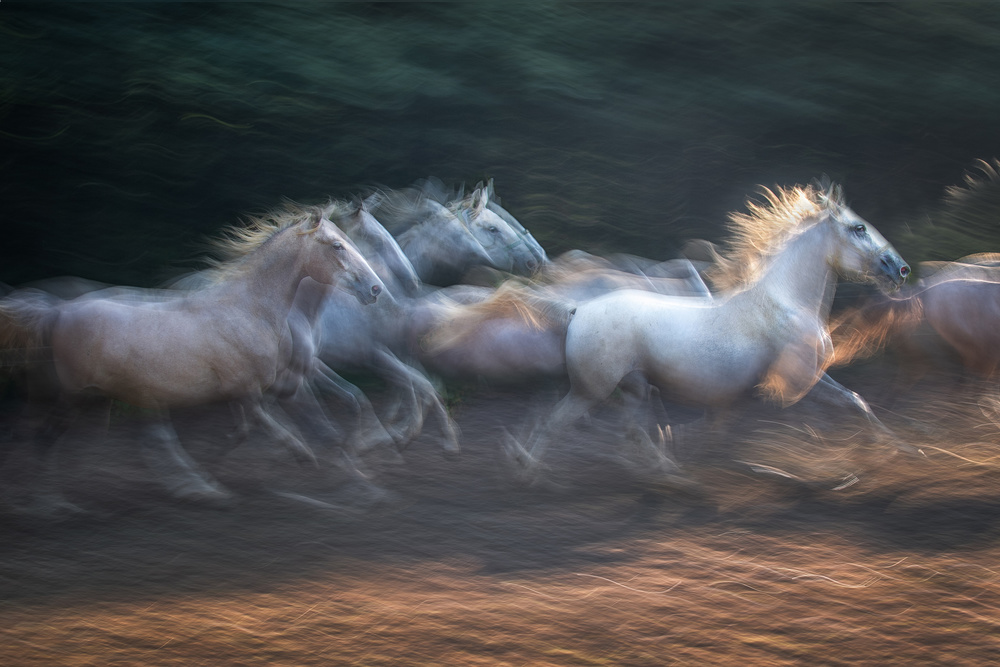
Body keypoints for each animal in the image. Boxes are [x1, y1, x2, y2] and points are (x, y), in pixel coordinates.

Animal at [508, 180, 916, 480]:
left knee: (632, 431)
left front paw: (901, 450)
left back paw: (668, 472)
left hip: (633, 388)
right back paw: (530, 471)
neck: (786, 302)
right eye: (858, 228)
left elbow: (856, 402)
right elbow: (845, 407)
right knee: (555, 423)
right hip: (591, 390)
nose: (901, 269)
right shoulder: (800, 381)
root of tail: (578, 310)